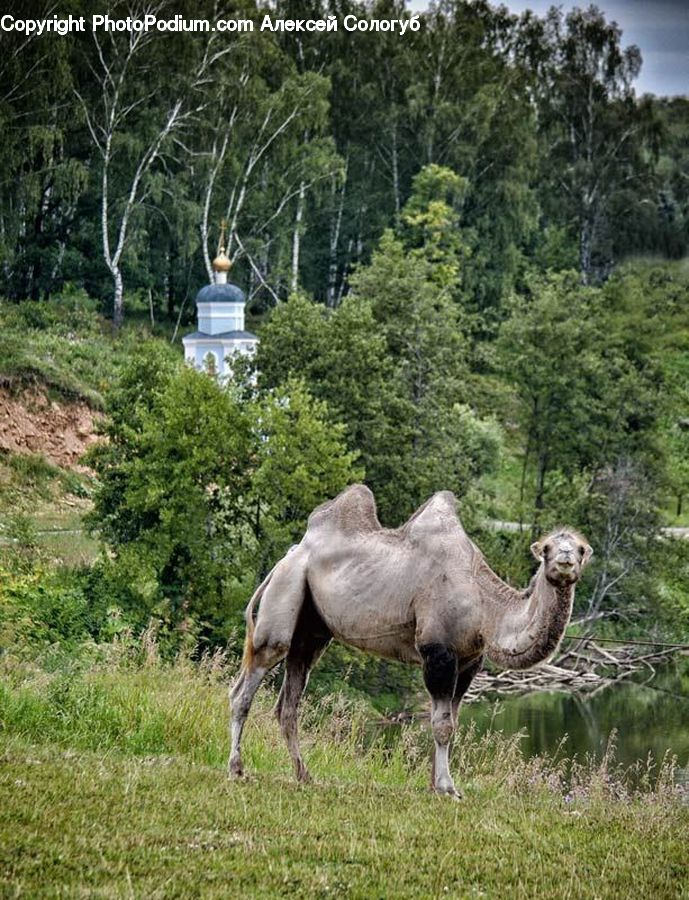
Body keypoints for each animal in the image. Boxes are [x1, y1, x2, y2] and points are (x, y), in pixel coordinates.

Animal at [229, 484, 592, 798]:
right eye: (547, 549)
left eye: (580, 549)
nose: (565, 561)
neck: (484, 605)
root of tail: (290, 553)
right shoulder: (437, 651)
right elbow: (442, 725)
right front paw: (447, 788)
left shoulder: (469, 661)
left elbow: (450, 722)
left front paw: (436, 784)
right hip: (287, 588)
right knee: (249, 681)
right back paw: (236, 769)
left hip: (312, 630)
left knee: (289, 698)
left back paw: (304, 775)